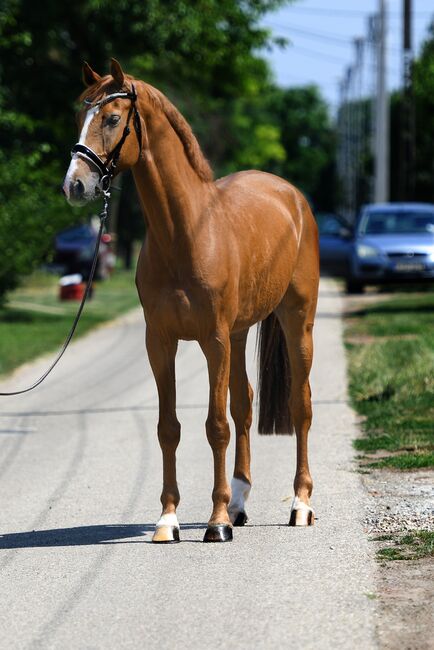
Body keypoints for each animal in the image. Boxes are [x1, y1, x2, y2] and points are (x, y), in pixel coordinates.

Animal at [62, 58, 318, 540]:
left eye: (113, 118)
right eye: (79, 116)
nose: (75, 185)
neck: (187, 231)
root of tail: (292, 196)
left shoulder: (212, 341)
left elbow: (214, 426)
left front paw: (215, 524)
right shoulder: (160, 342)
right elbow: (170, 427)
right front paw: (169, 519)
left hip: (297, 322)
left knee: (300, 406)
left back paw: (299, 504)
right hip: (239, 334)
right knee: (245, 404)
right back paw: (239, 503)